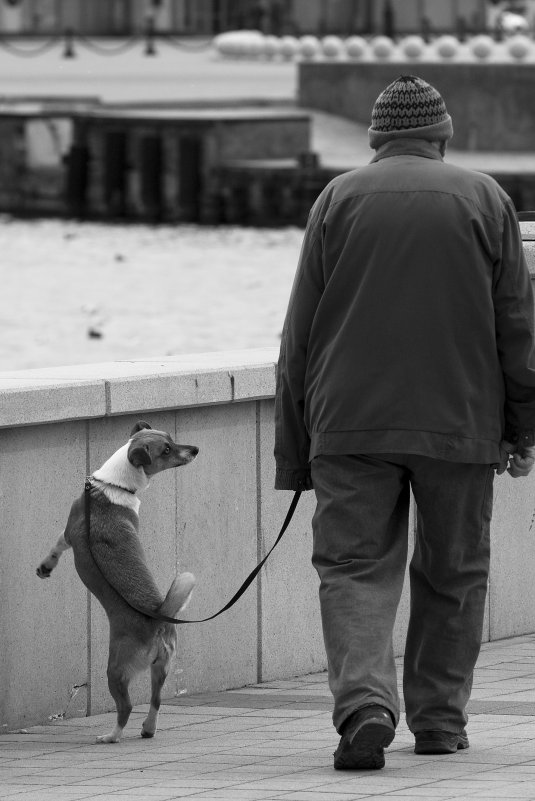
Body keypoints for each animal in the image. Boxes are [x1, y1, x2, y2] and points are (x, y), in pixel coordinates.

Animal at [36, 422, 199, 740]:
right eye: (167, 447)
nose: (196, 449)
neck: (112, 485)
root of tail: (158, 618)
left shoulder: (70, 533)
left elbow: (56, 546)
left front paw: (45, 566)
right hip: (161, 668)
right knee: (156, 701)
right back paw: (147, 729)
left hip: (115, 669)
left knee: (125, 707)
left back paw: (111, 736)